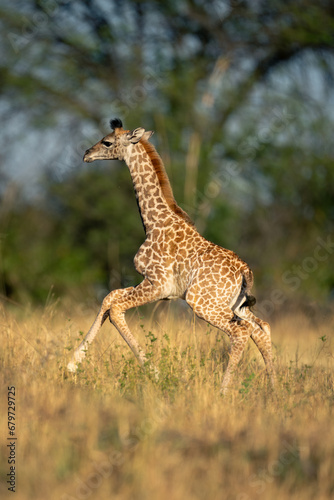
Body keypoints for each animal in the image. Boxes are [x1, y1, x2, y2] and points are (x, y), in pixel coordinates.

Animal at [66, 119, 276, 392]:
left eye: (107, 142)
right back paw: (275, 388)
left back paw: (223, 391)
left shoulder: (158, 285)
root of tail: (245, 271)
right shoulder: (150, 282)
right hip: (234, 305)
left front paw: (154, 374)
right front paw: (71, 365)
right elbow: (109, 298)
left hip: (202, 303)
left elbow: (115, 309)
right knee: (261, 328)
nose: (86, 154)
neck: (154, 222)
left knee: (242, 331)